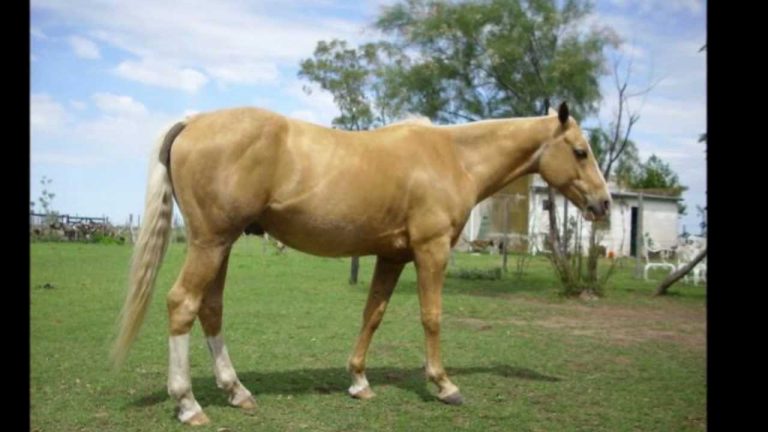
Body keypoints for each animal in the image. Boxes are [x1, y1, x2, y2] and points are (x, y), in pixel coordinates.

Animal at [111, 102, 611, 425]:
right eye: (581, 151)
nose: (604, 204)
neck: (452, 157)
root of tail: (193, 121)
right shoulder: (431, 250)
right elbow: (431, 316)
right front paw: (444, 385)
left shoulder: (391, 255)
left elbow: (373, 313)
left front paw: (358, 381)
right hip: (210, 243)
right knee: (182, 304)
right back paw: (188, 404)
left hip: (220, 245)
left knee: (210, 309)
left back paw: (237, 392)